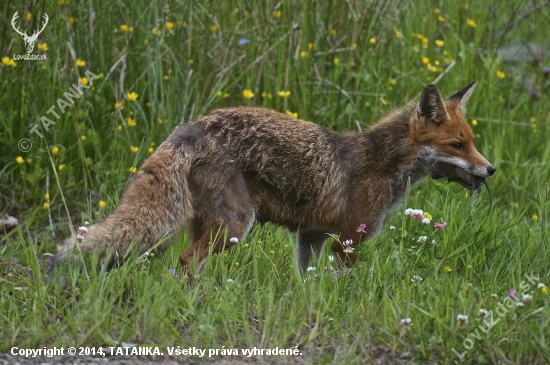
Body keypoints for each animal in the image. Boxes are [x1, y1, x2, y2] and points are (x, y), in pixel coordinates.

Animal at [55, 80, 496, 272]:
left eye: (472, 142)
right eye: (458, 145)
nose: (491, 169)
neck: (381, 163)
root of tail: (199, 125)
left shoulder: (312, 237)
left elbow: (308, 282)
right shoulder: (349, 239)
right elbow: (345, 283)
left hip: (210, 224)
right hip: (234, 225)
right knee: (185, 260)